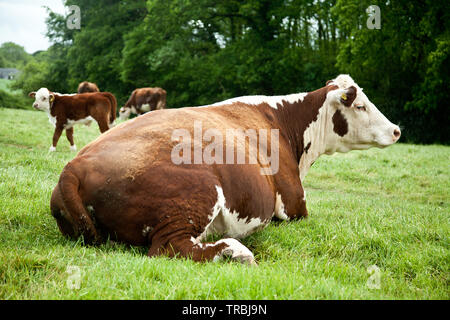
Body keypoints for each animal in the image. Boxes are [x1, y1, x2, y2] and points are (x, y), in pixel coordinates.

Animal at [50, 75, 400, 264]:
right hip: (198, 190)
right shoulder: (293, 204)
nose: (396, 130)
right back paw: (234, 251)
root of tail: (74, 167)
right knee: (169, 248)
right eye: (360, 106)